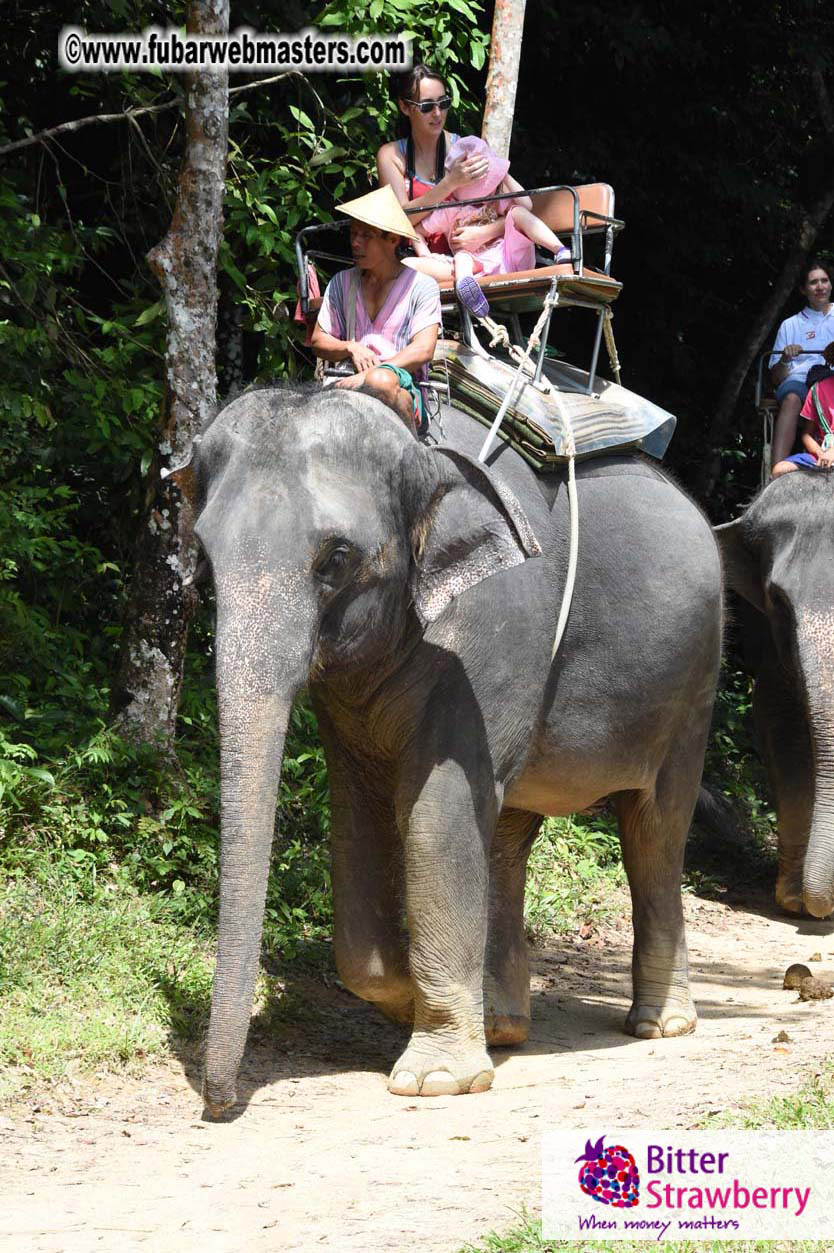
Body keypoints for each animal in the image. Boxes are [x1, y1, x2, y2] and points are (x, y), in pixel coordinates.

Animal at [193, 382, 722, 1117]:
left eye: (336, 559)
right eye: (203, 555)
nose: (221, 1104)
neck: (415, 446)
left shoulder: (492, 631)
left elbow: (435, 811)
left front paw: (436, 1078)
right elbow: (358, 810)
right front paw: (418, 1010)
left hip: (694, 683)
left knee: (655, 831)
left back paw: (659, 1024)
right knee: (506, 832)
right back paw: (505, 1024)